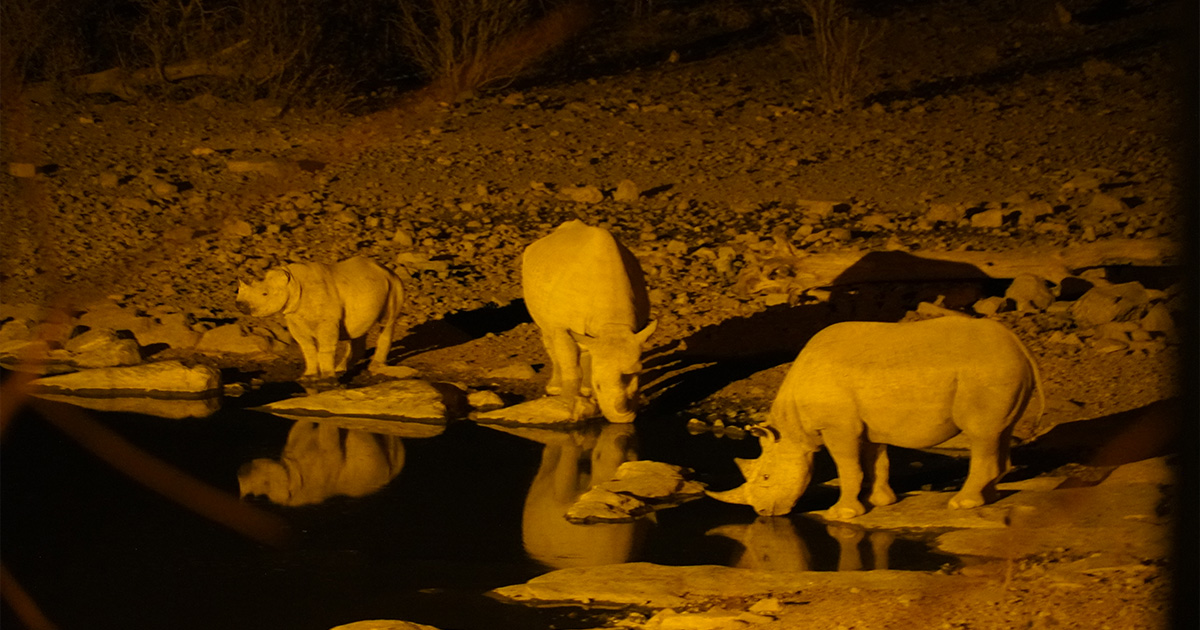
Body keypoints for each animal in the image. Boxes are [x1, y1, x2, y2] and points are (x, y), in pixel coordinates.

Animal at [236, 255, 405, 379]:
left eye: (265, 294)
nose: (240, 305)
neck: (292, 284)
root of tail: (385, 268)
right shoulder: (294, 317)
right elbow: (307, 347)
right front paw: (308, 375)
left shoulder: (327, 321)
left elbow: (325, 345)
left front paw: (327, 376)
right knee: (357, 331)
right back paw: (341, 369)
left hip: (394, 283)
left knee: (387, 322)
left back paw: (374, 367)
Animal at [523, 220, 657, 422]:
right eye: (599, 385)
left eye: (639, 378)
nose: (623, 419)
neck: (613, 324)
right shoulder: (563, 328)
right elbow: (571, 365)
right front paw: (569, 402)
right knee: (548, 334)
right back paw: (555, 389)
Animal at [710, 316, 1041, 518]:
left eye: (766, 477)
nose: (763, 513)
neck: (792, 430)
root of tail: (1019, 345)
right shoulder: (869, 425)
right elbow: (876, 462)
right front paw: (880, 502)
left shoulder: (838, 428)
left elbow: (848, 468)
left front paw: (842, 513)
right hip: (999, 369)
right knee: (1000, 431)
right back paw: (990, 498)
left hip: (986, 371)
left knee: (981, 434)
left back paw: (962, 503)